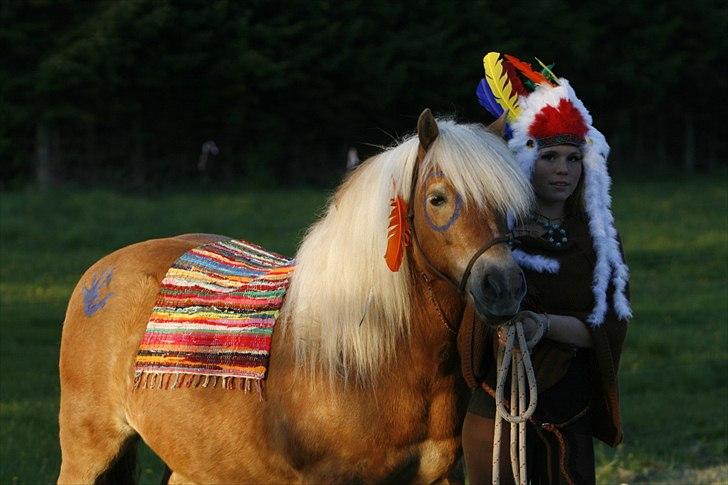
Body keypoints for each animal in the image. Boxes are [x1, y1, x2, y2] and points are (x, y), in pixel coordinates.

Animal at [58, 110, 536, 484]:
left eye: (507, 206)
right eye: (437, 199)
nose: (504, 287)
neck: (364, 358)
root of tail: (103, 269)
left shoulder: (437, 477)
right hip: (87, 452)